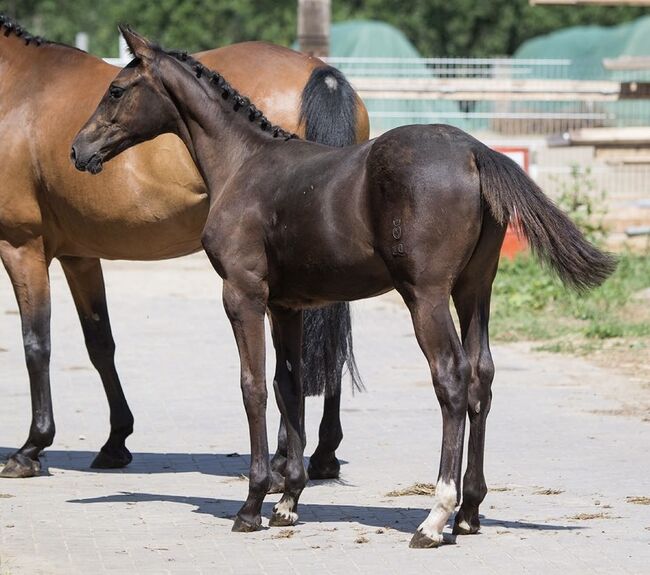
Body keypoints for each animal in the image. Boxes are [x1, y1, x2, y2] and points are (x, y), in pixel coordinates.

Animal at [71, 30, 612, 548]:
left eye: (116, 89)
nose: (78, 150)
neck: (244, 164)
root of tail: (476, 152)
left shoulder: (242, 294)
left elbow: (252, 386)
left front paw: (252, 505)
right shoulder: (286, 306)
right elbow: (287, 386)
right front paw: (288, 501)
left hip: (427, 296)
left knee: (452, 379)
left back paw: (435, 518)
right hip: (475, 290)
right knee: (482, 376)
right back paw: (471, 511)